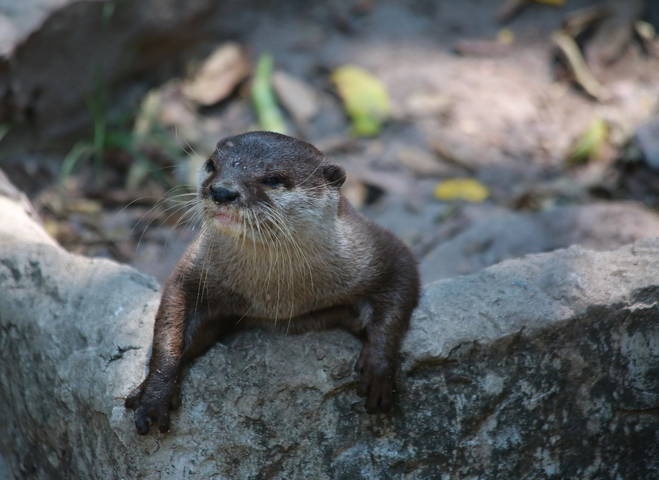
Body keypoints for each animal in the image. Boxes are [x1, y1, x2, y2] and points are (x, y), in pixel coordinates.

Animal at [126, 131, 420, 436]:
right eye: (211, 165)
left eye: (273, 179)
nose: (222, 191)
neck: (275, 295)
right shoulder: (195, 271)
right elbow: (171, 323)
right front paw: (153, 394)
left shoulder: (378, 249)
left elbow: (400, 284)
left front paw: (378, 370)